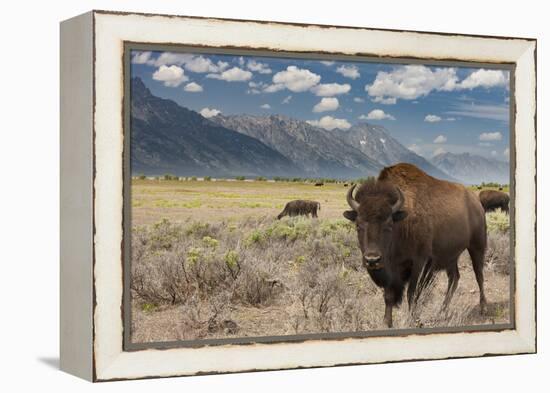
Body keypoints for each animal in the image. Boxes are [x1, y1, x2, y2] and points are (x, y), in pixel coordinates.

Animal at [344, 161, 488, 326]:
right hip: (450, 256)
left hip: (477, 246)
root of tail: (476, 203)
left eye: (389, 225)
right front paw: (387, 322)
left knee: (479, 275)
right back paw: (442, 312)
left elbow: (412, 292)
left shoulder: (419, 262)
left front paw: (412, 319)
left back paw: (483, 308)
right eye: (358, 225)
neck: (402, 222)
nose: (372, 260)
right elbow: (389, 296)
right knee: (454, 278)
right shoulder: (391, 271)